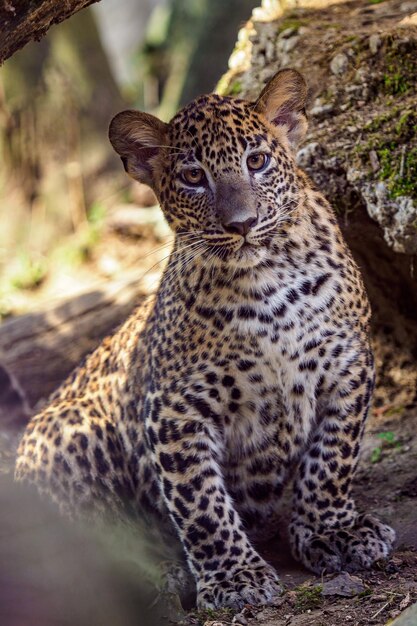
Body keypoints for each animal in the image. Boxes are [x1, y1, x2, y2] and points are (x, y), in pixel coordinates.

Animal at [15, 69, 394, 608]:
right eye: (194, 178)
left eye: (256, 162)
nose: (242, 225)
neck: (268, 285)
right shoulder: (175, 410)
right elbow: (201, 503)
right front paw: (235, 578)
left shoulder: (348, 366)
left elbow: (332, 459)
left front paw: (331, 532)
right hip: (65, 429)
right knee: (92, 547)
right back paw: (156, 575)